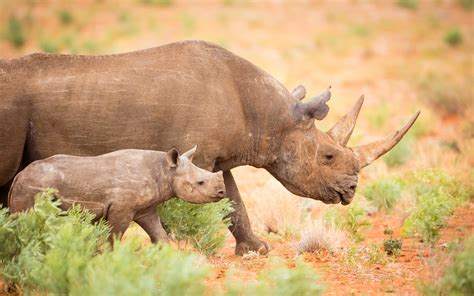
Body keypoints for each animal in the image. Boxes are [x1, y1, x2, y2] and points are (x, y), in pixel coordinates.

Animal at [8, 146, 227, 243]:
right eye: (200, 183)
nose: (222, 192)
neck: (165, 170)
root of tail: (19, 176)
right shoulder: (122, 208)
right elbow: (114, 237)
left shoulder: (145, 209)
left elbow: (159, 234)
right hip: (33, 187)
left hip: (32, 184)